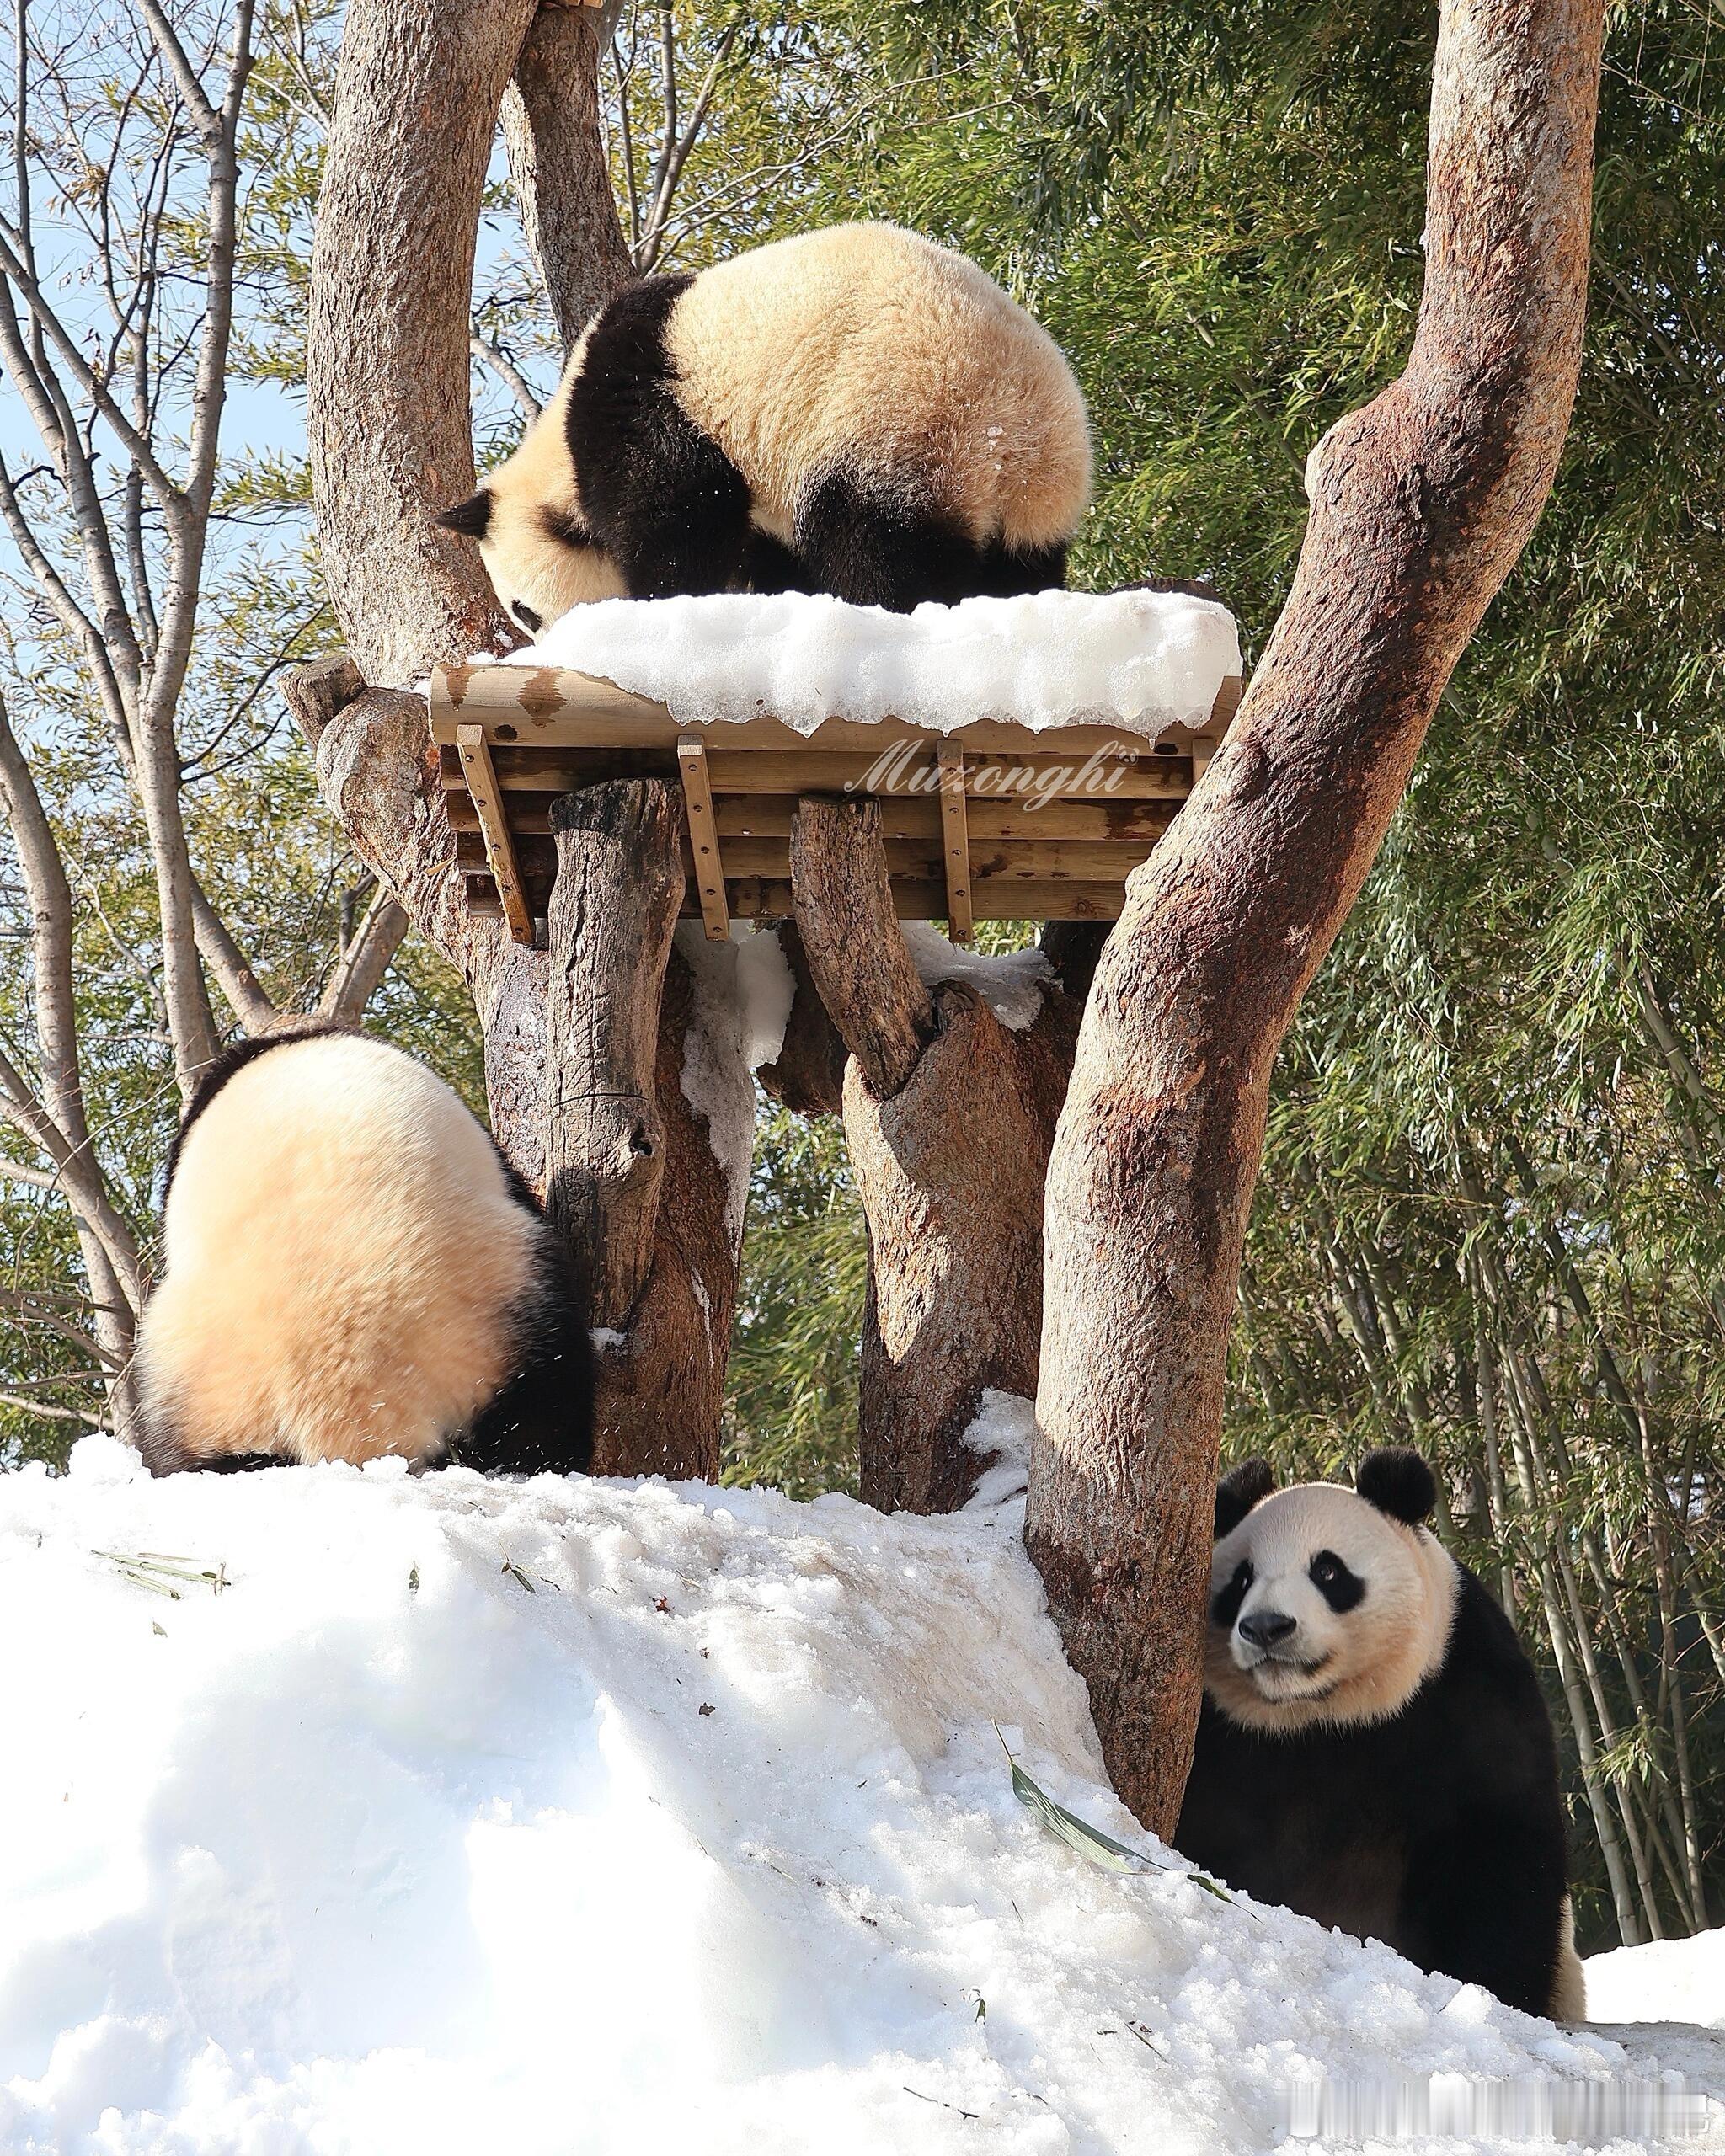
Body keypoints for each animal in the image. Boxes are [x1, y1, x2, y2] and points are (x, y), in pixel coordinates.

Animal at [444, 227, 1091, 629]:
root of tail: (1009, 430)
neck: (559, 450)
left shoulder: (654, 411)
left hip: (895, 417)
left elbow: (675, 521)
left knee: (877, 543)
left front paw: (665, 600)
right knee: (1017, 566)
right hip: (1033, 483)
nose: (550, 639)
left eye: (523, 611)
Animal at [1172, 1449, 1587, 2018]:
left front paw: (1490, 1993)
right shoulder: (1226, 1739)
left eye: (1327, 1570)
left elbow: (1498, 1849)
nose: (1267, 1627)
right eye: (1240, 1580)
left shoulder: (1463, 1690)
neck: (1320, 1715)